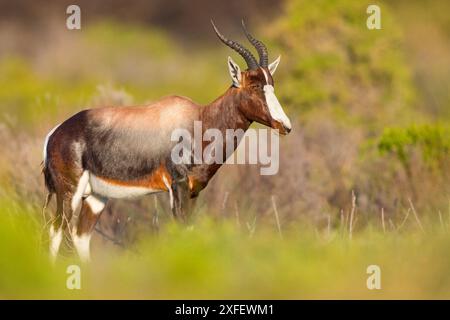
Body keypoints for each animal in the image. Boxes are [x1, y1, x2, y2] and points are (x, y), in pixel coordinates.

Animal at [43, 20, 292, 262]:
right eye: (255, 86)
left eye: (272, 83)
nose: (285, 126)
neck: (199, 119)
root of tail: (55, 133)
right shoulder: (177, 187)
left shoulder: (194, 191)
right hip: (69, 192)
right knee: (55, 231)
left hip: (96, 196)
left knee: (80, 236)